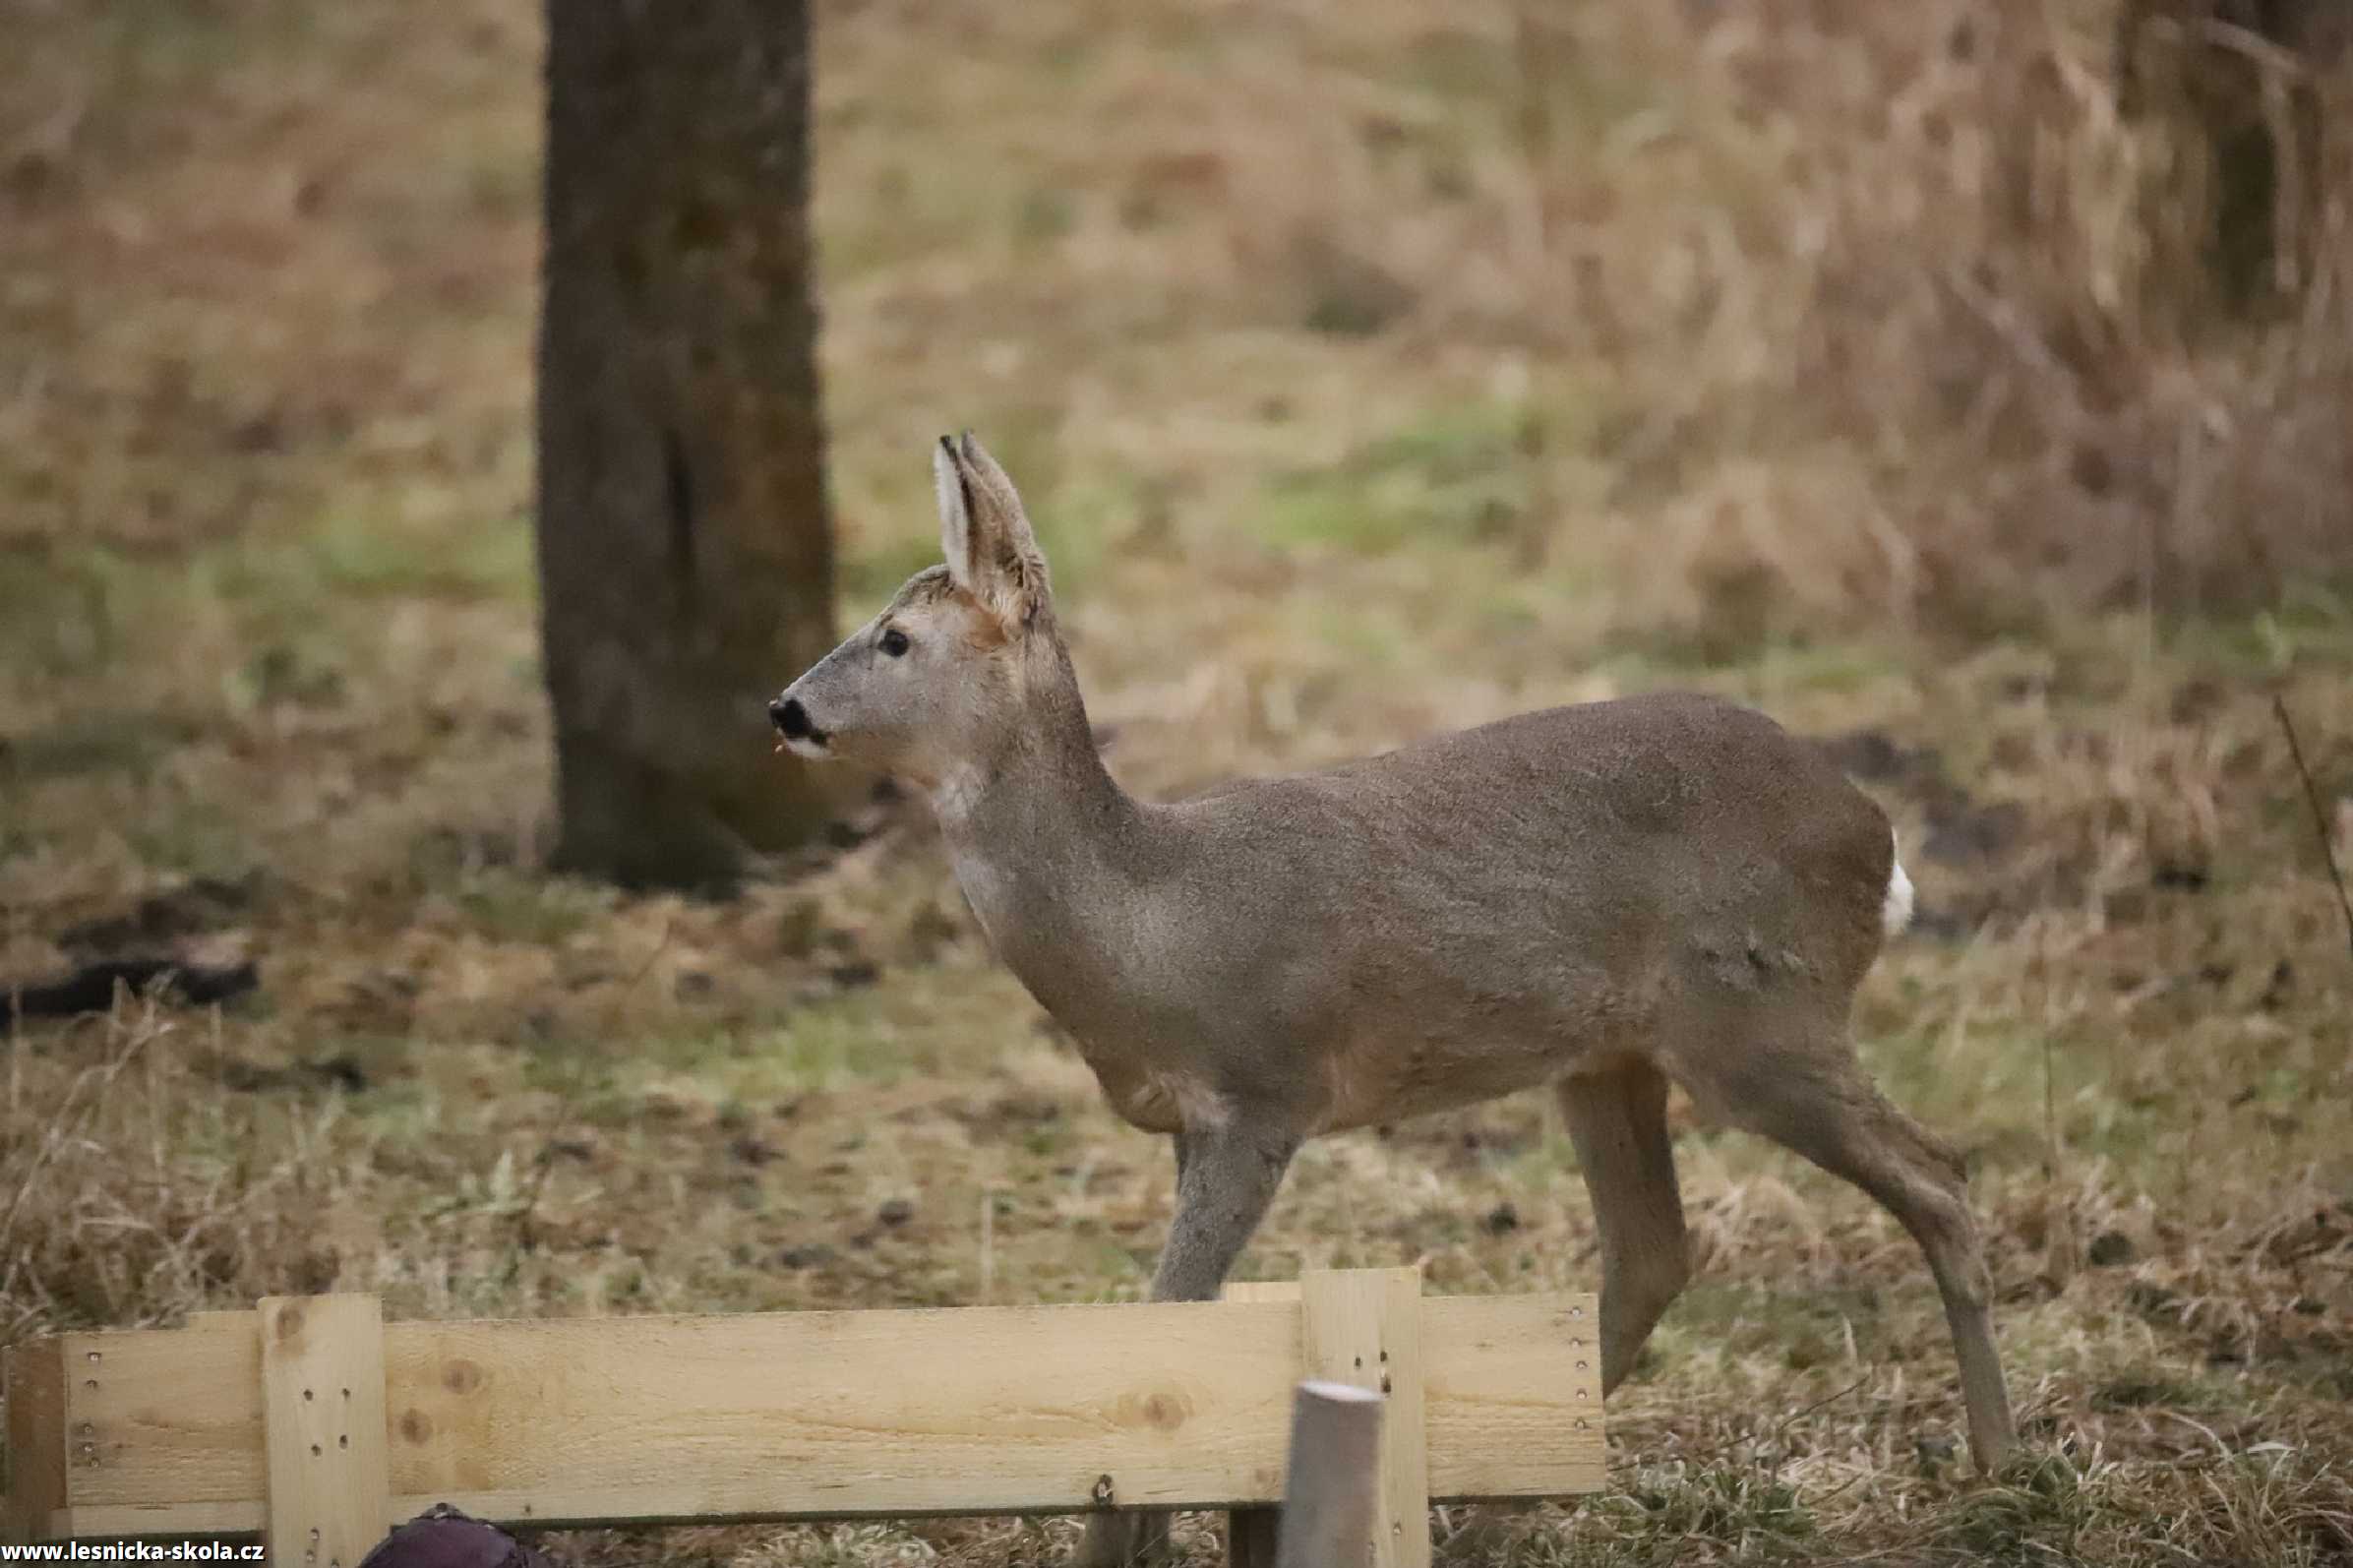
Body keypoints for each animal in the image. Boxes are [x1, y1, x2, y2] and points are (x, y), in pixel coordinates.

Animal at [771, 435, 2023, 1553]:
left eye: (894, 637)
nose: (784, 709)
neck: (1149, 925)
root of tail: (1876, 837)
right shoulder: (1186, 1122)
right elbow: (1180, 1330)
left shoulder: (1265, 1089)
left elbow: (1170, 1319)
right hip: (1608, 1057)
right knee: (1653, 1252)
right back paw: (1488, 1514)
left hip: (1759, 1016)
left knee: (1939, 1174)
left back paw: (2000, 1463)